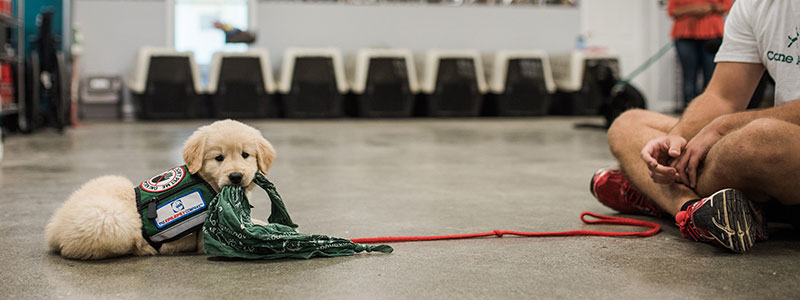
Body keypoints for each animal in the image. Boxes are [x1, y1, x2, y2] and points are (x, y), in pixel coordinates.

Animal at [43, 120, 276, 260]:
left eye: (245, 155)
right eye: (219, 158)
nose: (236, 176)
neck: (207, 181)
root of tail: (54, 227)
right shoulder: (206, 239)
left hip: (114, 181)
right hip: (110, 217)